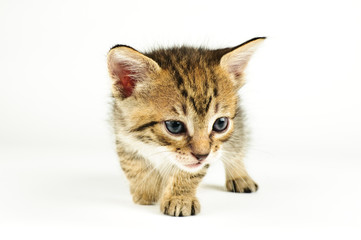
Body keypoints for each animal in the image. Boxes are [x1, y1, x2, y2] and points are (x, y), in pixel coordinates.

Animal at [107, 36, 264, 217]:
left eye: (220, 124)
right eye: (174, 126)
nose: (202, 155)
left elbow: (189, 172)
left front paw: (180, 198)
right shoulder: (123, 134)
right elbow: (133, 165)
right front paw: (147, 191)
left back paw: (240, 177)